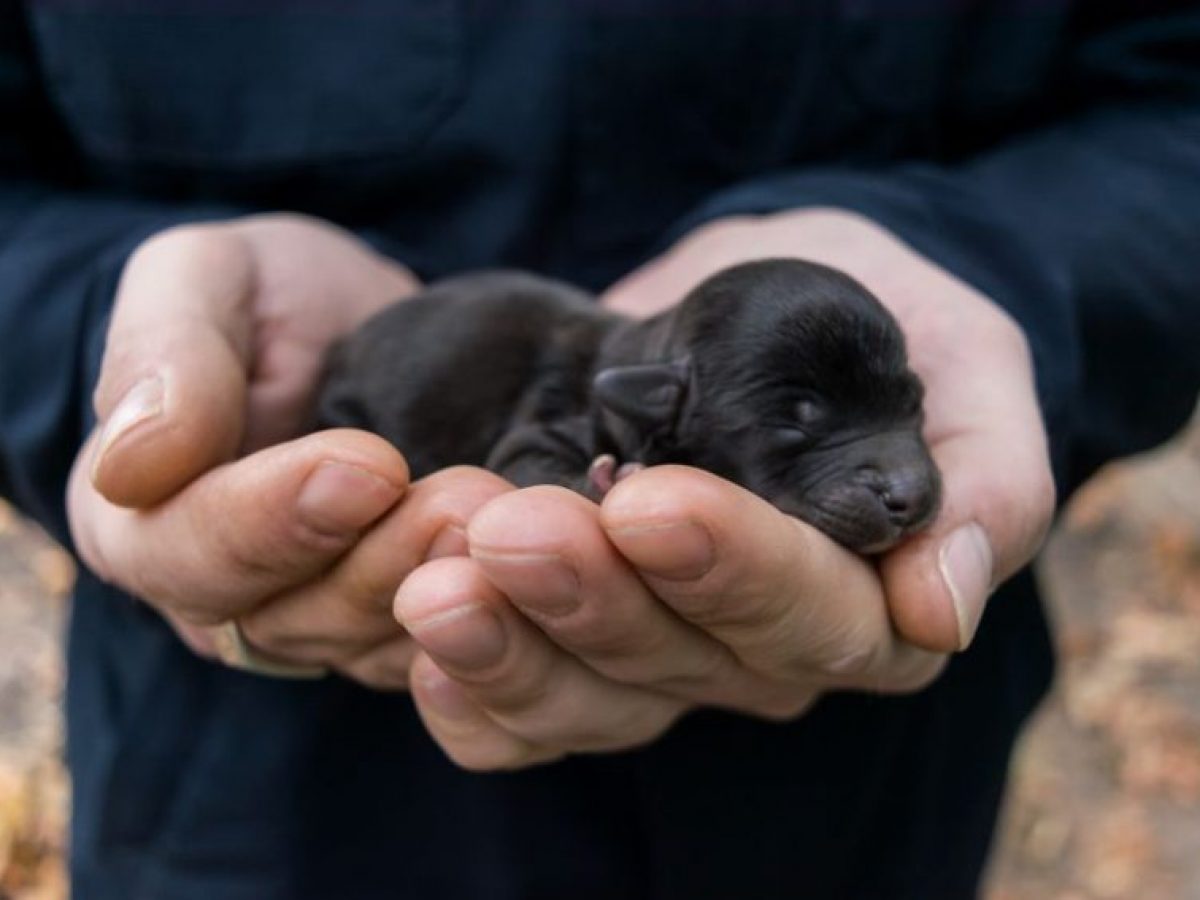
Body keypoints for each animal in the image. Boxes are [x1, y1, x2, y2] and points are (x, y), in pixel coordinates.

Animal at [319, 260, 945, 554]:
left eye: (914, 405)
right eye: (798, 421)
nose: (911, 496)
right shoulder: (543, 424)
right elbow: (526, 458)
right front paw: (603, 480)